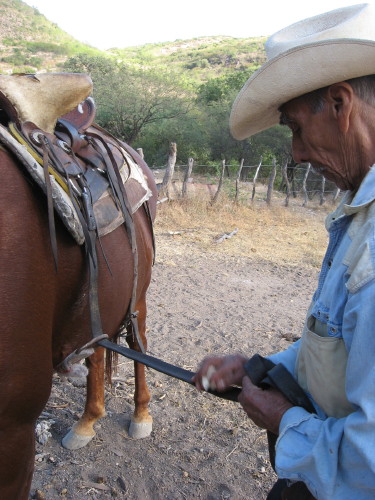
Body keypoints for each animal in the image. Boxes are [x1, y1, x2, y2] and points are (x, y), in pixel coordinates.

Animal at [0, 78, 158, 500]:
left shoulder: (14, 426)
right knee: (97, 348)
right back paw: (88, 419)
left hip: (139, 293)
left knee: (138, 342)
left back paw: (141, 414)